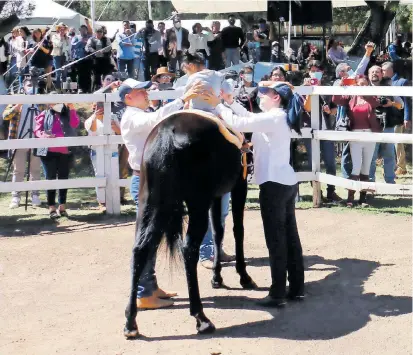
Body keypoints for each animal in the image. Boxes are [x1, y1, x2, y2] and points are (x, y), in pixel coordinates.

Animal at [124, 110, 256, 338]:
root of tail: (167, 134)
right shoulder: (238, 187)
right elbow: (237, 230)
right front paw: (243, 277)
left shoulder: (217, 196)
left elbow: (218, 232)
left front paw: (217, 278)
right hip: (197, 205)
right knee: (189, 249)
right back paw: (201, 318)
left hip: (149, 205)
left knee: (140, 250)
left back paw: (131, 323)